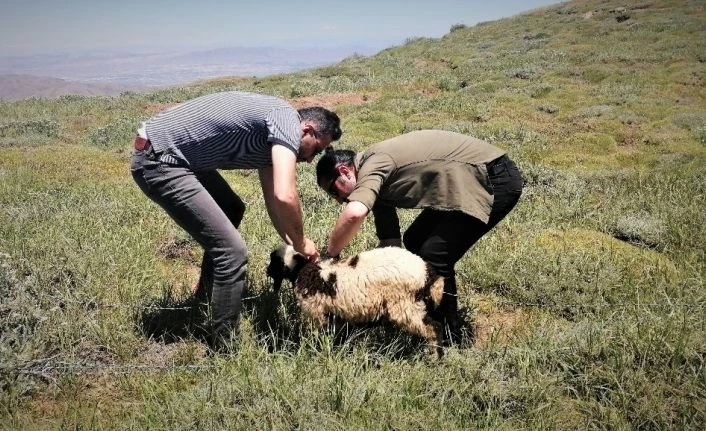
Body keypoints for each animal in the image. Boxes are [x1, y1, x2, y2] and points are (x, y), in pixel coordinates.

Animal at [266, 246, 442, 358]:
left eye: (275, 261)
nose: (267, 271)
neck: (303, 270)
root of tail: (427, 272)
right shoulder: (336, 316)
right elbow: (337, 336)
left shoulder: (315, 312)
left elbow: (315, 336)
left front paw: (311, 350)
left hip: (405, 305)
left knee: (433, 328)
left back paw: (434, 357)